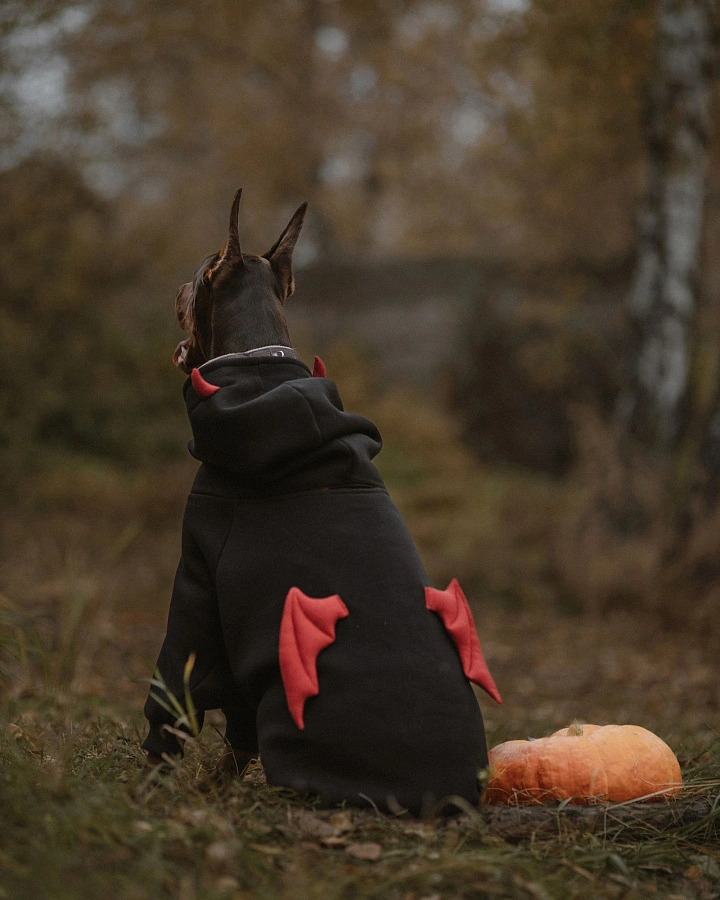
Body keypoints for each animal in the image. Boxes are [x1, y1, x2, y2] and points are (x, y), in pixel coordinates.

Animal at [143, 190, 498, 816]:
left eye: (201, 272)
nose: (177, 288)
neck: (260, 372)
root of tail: (446, 800)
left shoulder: (199, 578)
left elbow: (174, 696)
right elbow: (236, 736)